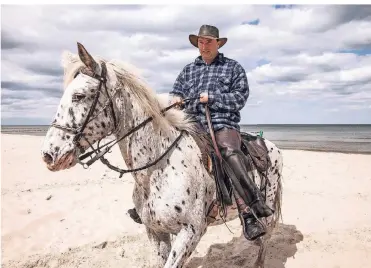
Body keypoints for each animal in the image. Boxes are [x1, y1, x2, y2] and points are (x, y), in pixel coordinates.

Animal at [40, 43, 284, 266]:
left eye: (79, 96)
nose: (48, 155)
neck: (158, 169)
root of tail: (270, 146)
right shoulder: (156, 231)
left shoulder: (191, 233)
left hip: (267, 209)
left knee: (265, 238)